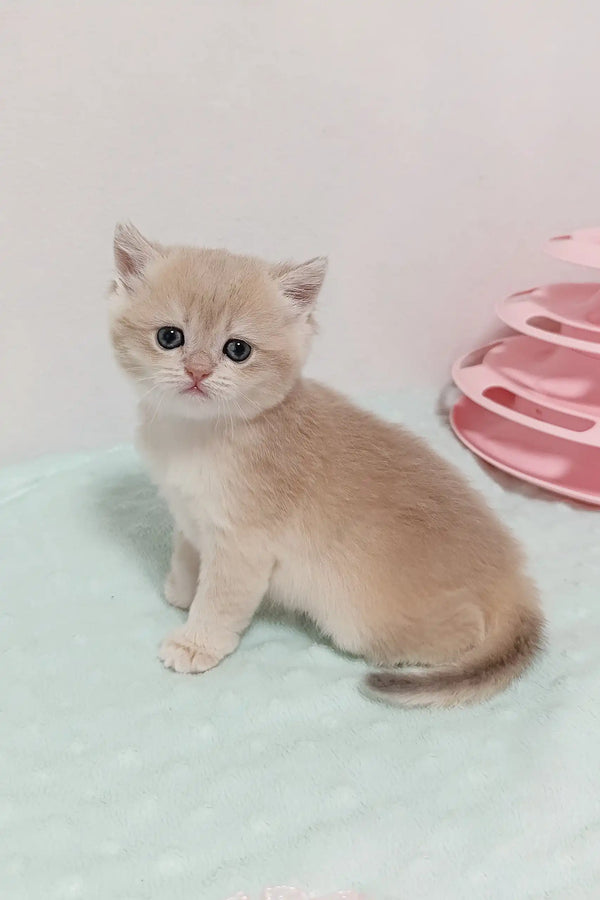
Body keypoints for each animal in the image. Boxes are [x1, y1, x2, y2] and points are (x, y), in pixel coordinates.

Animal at [108, 223, 544, 704]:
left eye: (237, 349)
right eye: (170, 337)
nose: (197, 371)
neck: (197, 434)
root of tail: (510, 576)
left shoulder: (243, 548)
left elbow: (220, 600)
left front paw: (196, 641)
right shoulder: (189, 516)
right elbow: (187, 555)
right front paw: (182, 591)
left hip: (360, 621)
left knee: (464, 627)